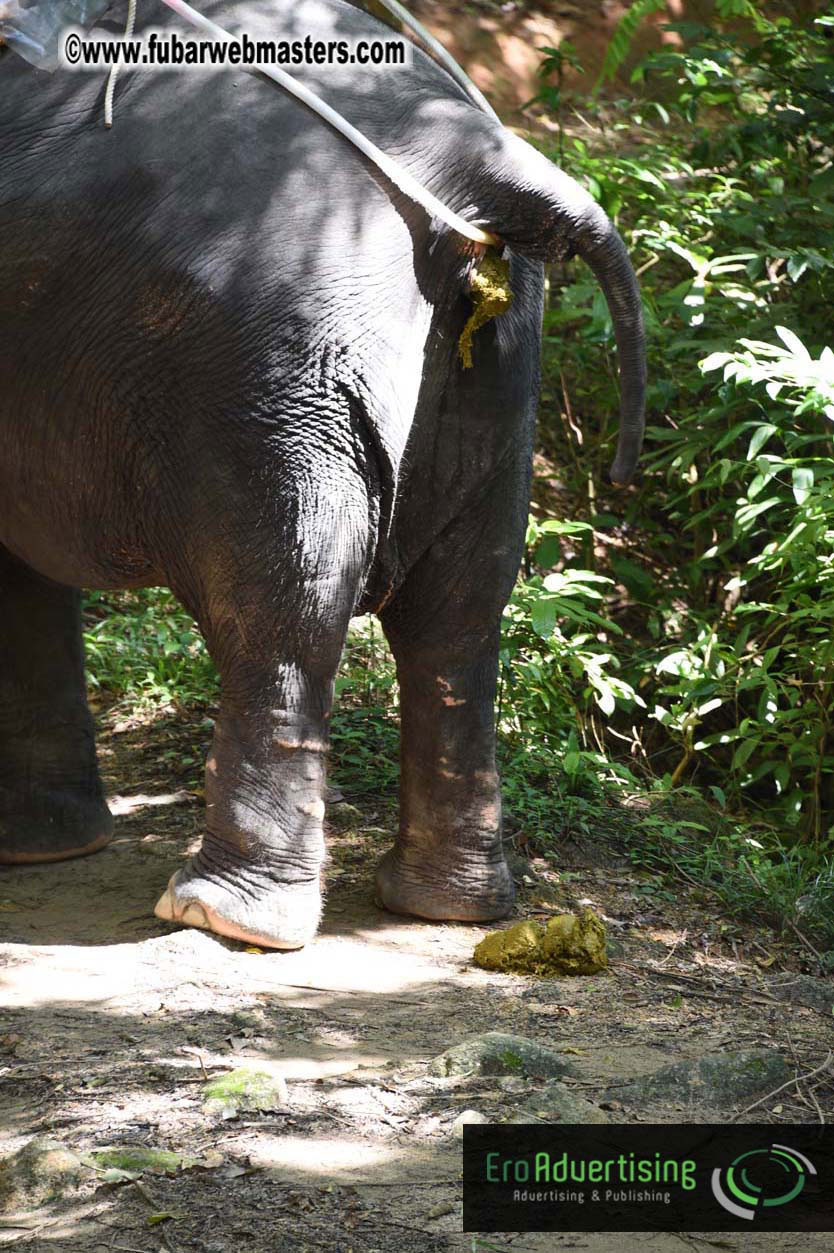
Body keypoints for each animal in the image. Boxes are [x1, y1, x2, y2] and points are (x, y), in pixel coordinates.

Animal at [0, 0, 645, 948]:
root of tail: (478, 164)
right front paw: (46, 849)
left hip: (269, 374)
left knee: (281, 607)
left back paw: (224, 913)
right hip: (495, 371)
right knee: (461, 615)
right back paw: (446, 904)